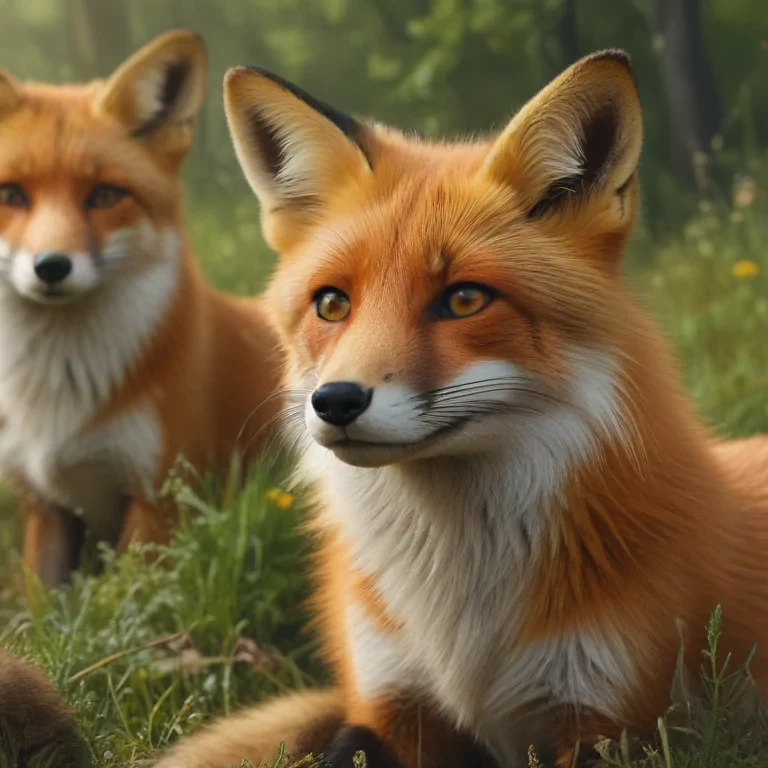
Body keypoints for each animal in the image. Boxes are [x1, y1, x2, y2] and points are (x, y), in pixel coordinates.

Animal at [0, 30, 282, 588]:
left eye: (105, 195)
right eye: (12, 194)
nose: (51, 266)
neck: (58, 397)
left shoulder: (160, 500)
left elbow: (126, 601)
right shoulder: (44, 509)